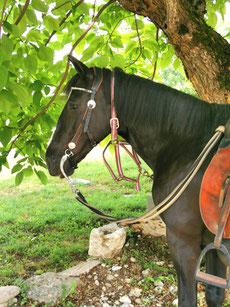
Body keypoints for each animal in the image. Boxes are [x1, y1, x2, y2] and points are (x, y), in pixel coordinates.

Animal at [45, 56, 230, 306]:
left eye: (74, 106)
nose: (51, 159)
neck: (189, 149)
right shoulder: (213, 245)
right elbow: (214, 295)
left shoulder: (184, 243)